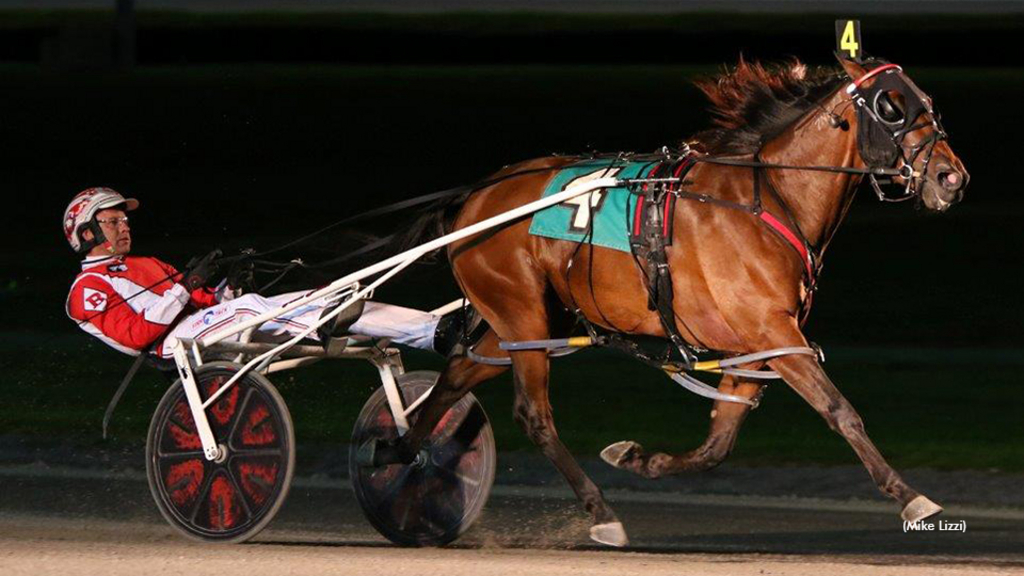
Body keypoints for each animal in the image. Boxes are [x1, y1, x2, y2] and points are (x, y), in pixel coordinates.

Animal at [360, 56, 966, 545]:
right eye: (892, 107)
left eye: (928, 103)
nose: (950, 177)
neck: (770, 199)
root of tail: (474, 198)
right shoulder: (774, 331)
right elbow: (839, 410)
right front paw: (909, 495)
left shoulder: (755, 346)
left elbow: (717, 444)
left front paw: (637, 457)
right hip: (522, 313)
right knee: (534, 415)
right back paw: (600, 513)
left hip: (520, 322)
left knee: (455, 376)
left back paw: (400, 455)